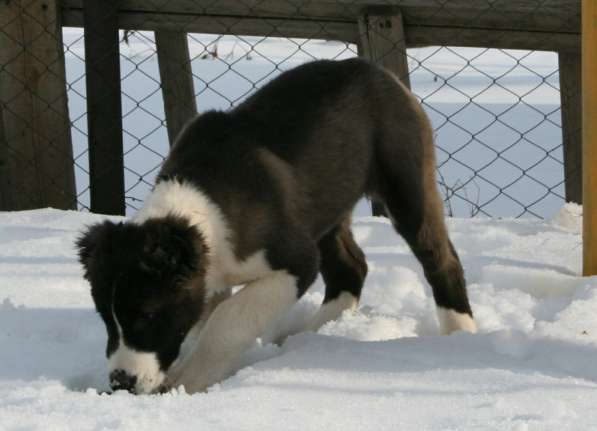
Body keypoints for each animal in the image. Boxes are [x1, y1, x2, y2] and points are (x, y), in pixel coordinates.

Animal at [77, 59, 474, 396]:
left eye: (147, 314)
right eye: (105, 318)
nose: (121, 383)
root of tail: (377, 71)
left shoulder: (294, 262)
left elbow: (227, 319)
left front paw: (190, 382)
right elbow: (203, 320)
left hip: (406, 184)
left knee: (440, 258)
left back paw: (460, 334)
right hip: (323, 208)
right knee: (351, 269)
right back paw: (304, 336)